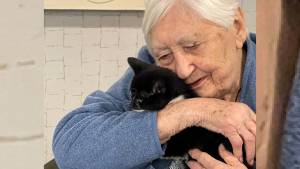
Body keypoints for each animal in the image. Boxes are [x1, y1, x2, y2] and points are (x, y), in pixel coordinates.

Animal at [126, 57, 255, 169]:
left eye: (140, 100)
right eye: (131, 94)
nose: (131, 105)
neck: (176, 99)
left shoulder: (181, 142)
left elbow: (165, 152)